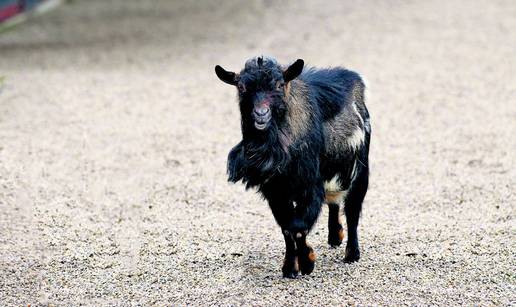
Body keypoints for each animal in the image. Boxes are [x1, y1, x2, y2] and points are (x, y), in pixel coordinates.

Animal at [215, 56, 370, 280]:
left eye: (279, 84)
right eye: (241, 87)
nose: (261, 114)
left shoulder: (310, 186)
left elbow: (297, 227)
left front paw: (307, 262)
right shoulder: (275, 192)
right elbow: (287, 229)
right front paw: (290, 268)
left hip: (361, 171)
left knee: (352, 210)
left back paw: (352, 253)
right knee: (334, 201)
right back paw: (335, 237)